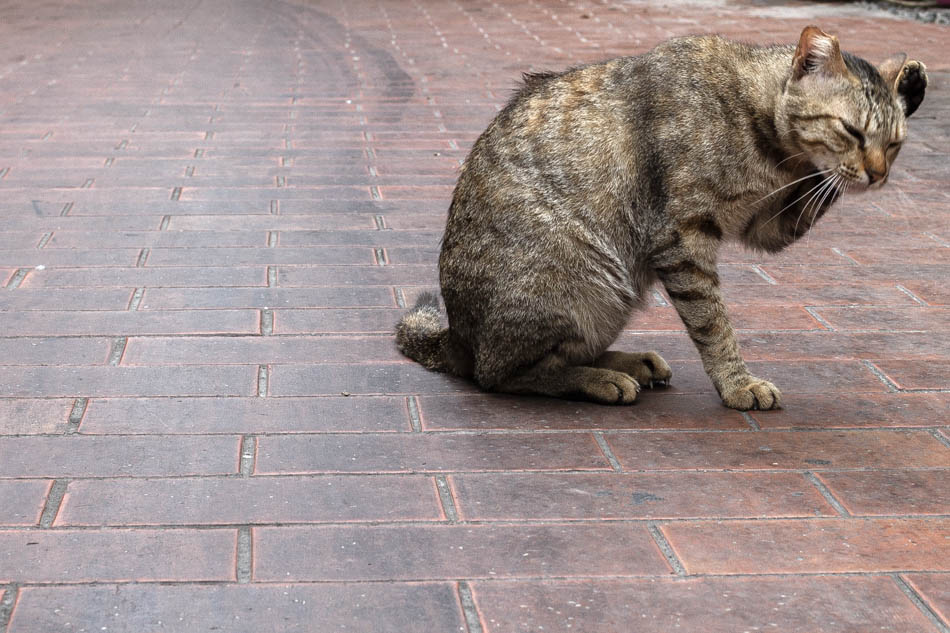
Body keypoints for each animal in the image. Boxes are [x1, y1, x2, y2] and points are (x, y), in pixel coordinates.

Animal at [394, 25, 928, 410]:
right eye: (852, 131)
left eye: (894, 145)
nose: (878, 175)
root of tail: (456, 337)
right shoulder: (682, 237)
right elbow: (713, 323)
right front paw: (737, 384)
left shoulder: (767, 224)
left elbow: (812, 198)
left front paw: (912, 84)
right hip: (579, 279)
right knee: (502, 374)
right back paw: (600, 379)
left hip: (610, 297)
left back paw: (628, 362)